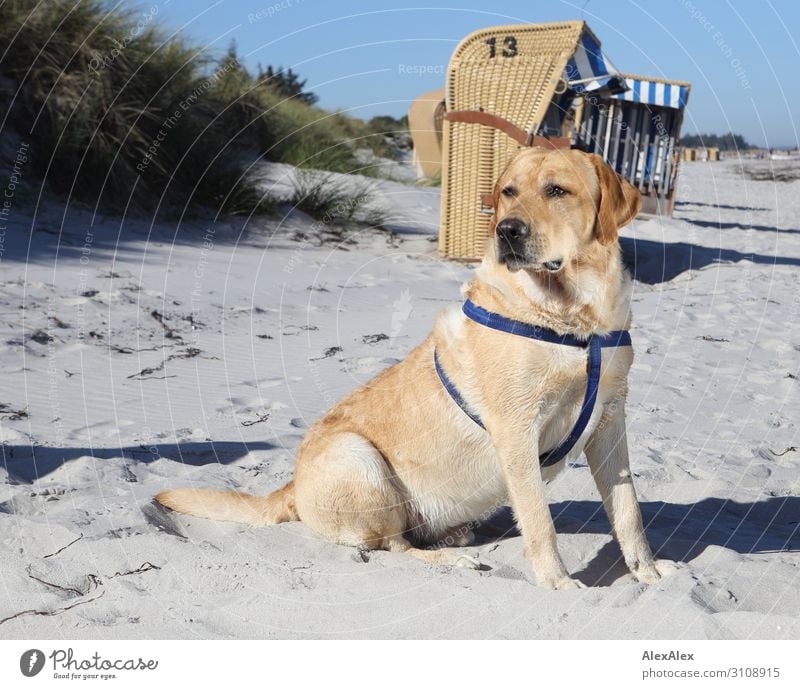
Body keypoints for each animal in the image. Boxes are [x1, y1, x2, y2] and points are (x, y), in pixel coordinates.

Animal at [156, 148, 676, 588]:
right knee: (395, 545)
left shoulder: (610, 420)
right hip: (358, 457)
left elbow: (628, 510)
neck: (573, 318)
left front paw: (648, 573)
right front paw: (558, 584)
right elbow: (539, 521)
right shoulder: (516, 429)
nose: (507, 231)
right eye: (509, 191)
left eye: (557, 190)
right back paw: (452, 559)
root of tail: (290, 488)